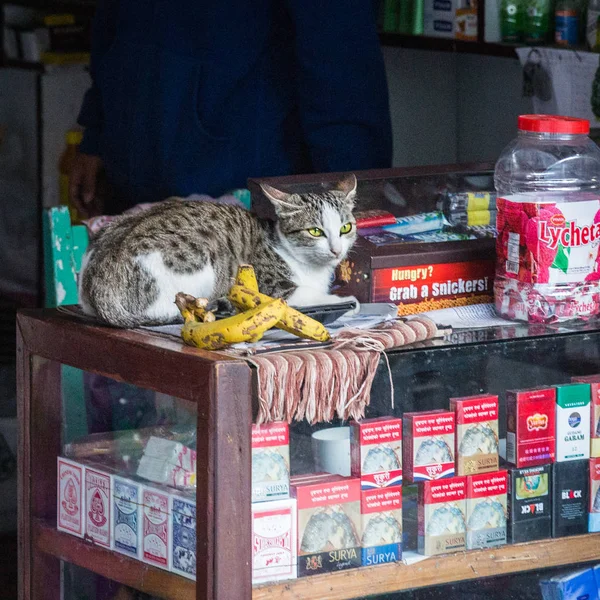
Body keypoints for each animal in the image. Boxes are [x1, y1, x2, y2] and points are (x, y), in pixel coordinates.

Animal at [79, 175, 360, 328]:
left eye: (345, 228)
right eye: (315, 232)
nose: (336, 250)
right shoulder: (274, 289)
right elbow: (311, 295)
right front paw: (347, 300)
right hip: (200, 260)